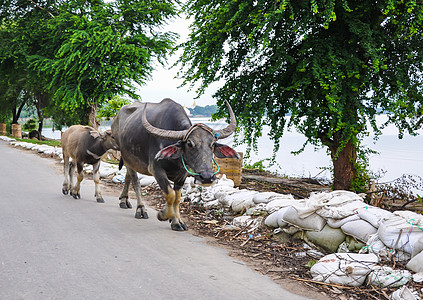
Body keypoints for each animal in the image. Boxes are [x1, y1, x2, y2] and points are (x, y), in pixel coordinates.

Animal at [111, 97, 240, 231]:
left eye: (213, 144)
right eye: (189, 144)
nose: (207, 178)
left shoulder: (182, 175)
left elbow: (177, 198)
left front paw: (177, 221)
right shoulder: (156, 169)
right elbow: (170, 194)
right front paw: (163, 214)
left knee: (128, 177)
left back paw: (124, 200)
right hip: (127, 158)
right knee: (135, 181)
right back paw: (141, 209)